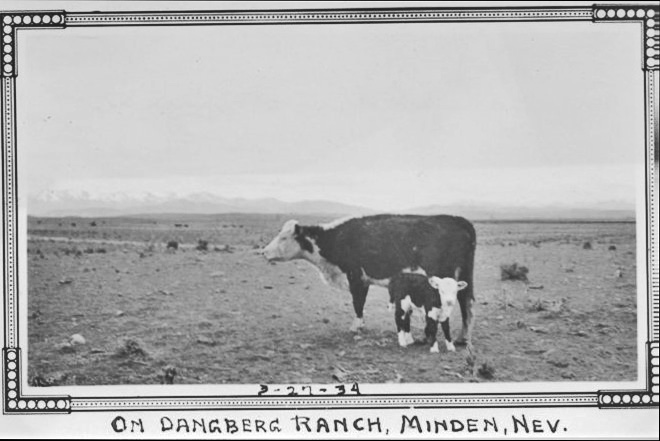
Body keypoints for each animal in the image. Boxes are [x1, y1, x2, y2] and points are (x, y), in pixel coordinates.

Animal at [262, 214, 476, 345]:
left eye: (283, 238)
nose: (263, 251)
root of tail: (459, 221)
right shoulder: (363, 280)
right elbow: (361, 302)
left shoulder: (355, 276)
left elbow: (357, 302)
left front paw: (355, 327)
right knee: (466, 302)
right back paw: (462, 337)